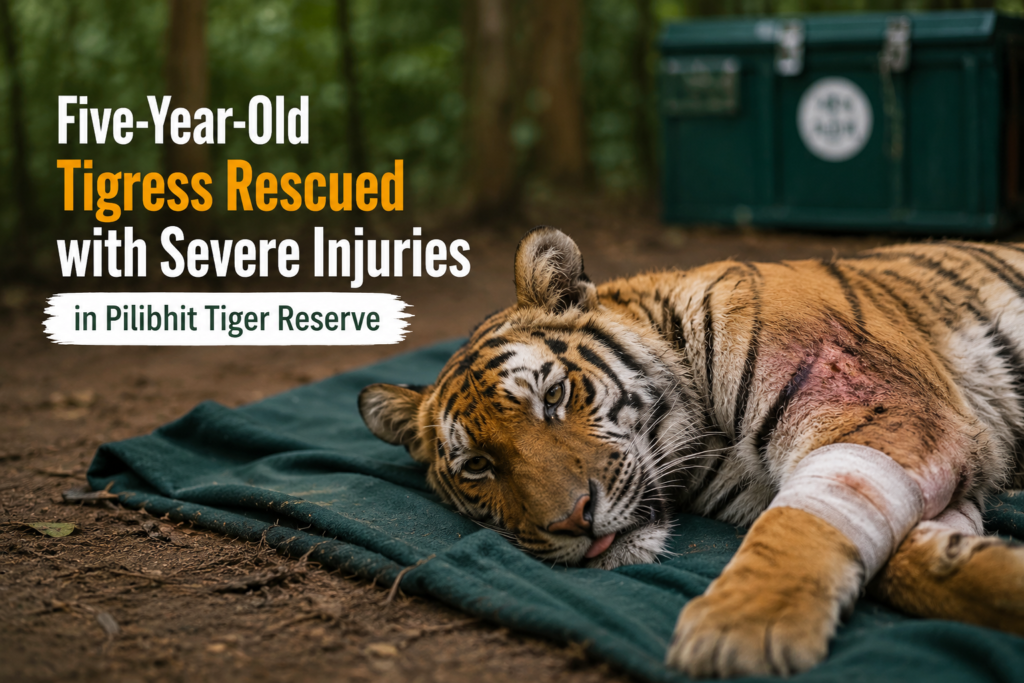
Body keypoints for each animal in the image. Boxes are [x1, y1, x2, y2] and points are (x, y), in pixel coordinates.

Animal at [359, 226, 1024, 678]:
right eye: (478, 466)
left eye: (553, 396)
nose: (573, 520)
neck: (705, 442)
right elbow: (915, 565)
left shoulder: (877, 404)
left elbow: (798, 525)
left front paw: (739, 628)